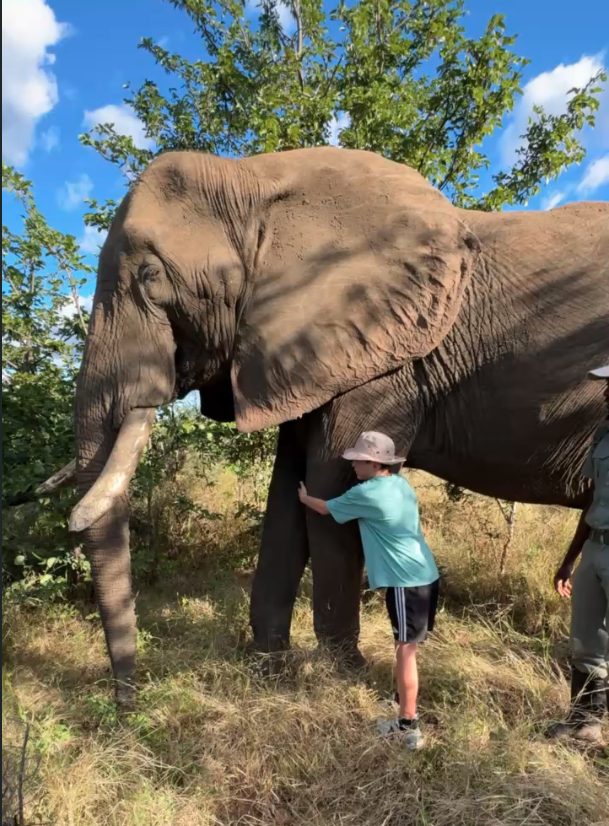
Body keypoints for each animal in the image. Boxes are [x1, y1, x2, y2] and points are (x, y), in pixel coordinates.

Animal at [50, 146, 608, 703]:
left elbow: (328, 489)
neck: (254, 180)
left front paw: (345, 672)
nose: (128, 701)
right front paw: (269, 666)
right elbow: (286, 495)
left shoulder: (386, 363)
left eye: (150, 276)